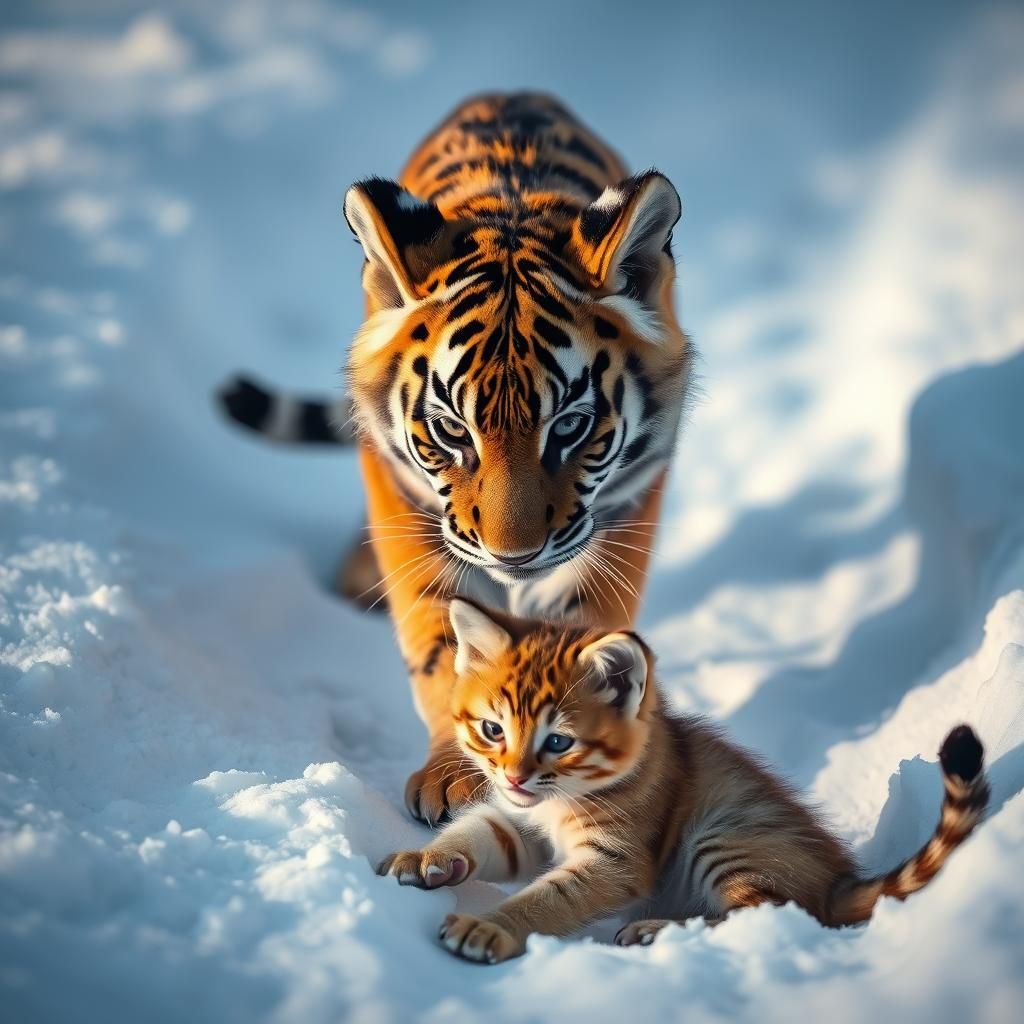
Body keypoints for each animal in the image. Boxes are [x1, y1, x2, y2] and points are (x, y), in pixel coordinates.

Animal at [218, 93, 692, 825]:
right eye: (451, 431)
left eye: (571, 425)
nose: (513, 556)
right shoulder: (404, 501)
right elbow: (444, 644)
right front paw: (458, 775)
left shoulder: (631, 503)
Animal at [377, 597, 991, 964]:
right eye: (492, 729)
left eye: (558, 742)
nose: (513, 776)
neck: (561, 799)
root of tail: (838, 881)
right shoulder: (518, 824)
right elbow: (476, 833)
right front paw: (425, 857)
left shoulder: (615, 861)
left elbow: (549, 898)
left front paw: (489, 929)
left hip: (727, 836)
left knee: (761, 913)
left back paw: (653, 931)